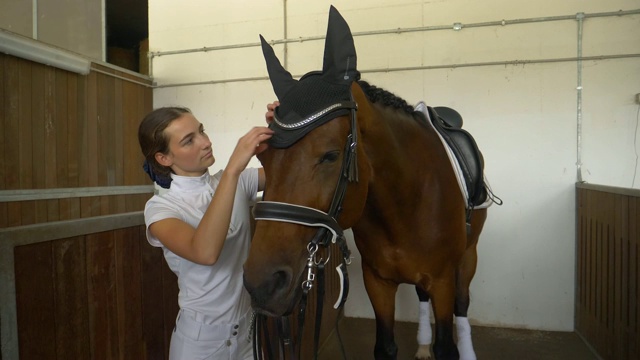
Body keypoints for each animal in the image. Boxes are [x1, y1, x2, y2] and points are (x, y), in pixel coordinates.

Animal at [242, 5, 498, 360]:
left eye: (331, 155)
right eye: (263, 158)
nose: (262, 285)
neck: (405, 203)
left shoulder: (443, 280)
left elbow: (447, 344)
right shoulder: (378, 282)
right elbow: (385, 346)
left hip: (467, 258)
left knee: (463, 303)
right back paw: (421, 346)